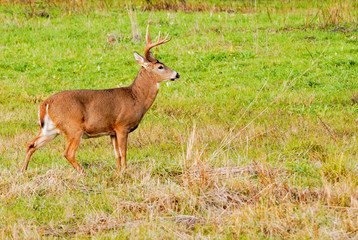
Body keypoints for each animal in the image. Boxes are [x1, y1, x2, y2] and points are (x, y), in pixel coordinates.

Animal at [20, 26, 179, 174]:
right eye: (160, 66)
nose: (177, 74)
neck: (135, 97)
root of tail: (45, 103)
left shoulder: (112, 131)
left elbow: (117, 154)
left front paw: (118, 172)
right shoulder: (122, 126)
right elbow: (124, 152)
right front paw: (125, 172)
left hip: (50, 129)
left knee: (31, 144)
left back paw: (22, 170)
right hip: (73, 127)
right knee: (68, 153)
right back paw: (83, 173)